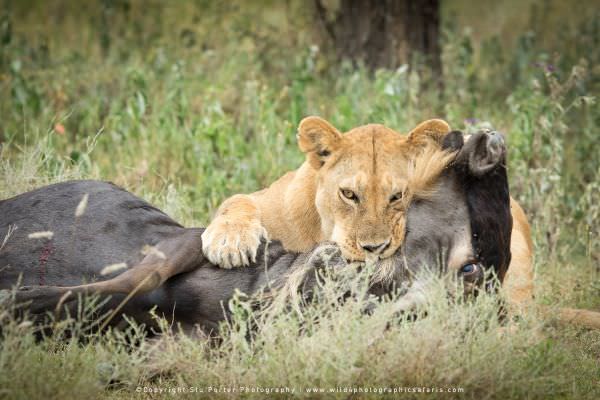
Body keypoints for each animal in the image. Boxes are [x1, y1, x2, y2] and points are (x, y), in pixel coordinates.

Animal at [202, 115, 450, 268]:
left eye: (397, 196)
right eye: (348, 194)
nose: (374, 248)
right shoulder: (267, 200)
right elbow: (238, 199)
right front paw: (230, 243)